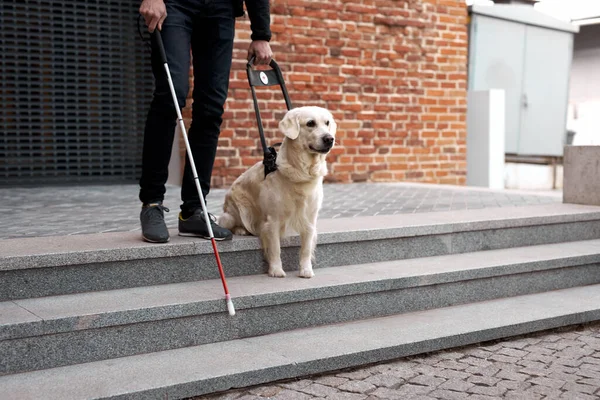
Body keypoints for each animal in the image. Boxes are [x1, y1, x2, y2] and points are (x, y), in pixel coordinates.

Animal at [217, 106, 336, 278]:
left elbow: (306, 249)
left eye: (327, 123)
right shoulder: (272, 220)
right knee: (231, 222)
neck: (301, 172)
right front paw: (276, 270)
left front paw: (306, 270)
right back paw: (241, 230)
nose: (329, 139)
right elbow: (275, 248)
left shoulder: (309, 219)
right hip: (236, 211)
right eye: (310, 123)